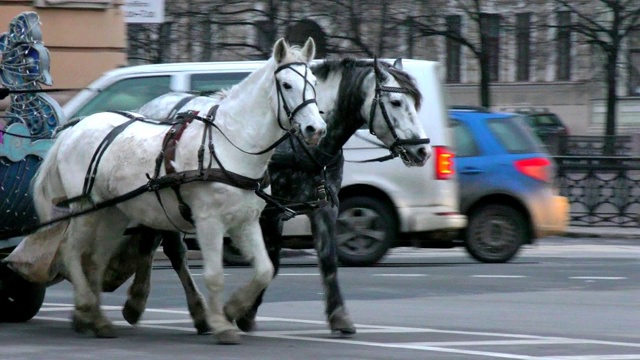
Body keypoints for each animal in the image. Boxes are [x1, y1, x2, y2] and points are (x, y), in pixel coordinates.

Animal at [32, 38, 328, 344]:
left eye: (314, 82)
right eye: (287, 84)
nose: (316, 128)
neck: (228, 144)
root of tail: (75, 127)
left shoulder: (246, 221)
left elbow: (264, 270)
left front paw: (232, 310)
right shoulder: (208, 221)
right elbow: (214, 275)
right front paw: (221, 323)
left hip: (112, 212)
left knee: (96, 259)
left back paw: (98, 319)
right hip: (86, 210)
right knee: (71, 251)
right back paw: (86, 307)